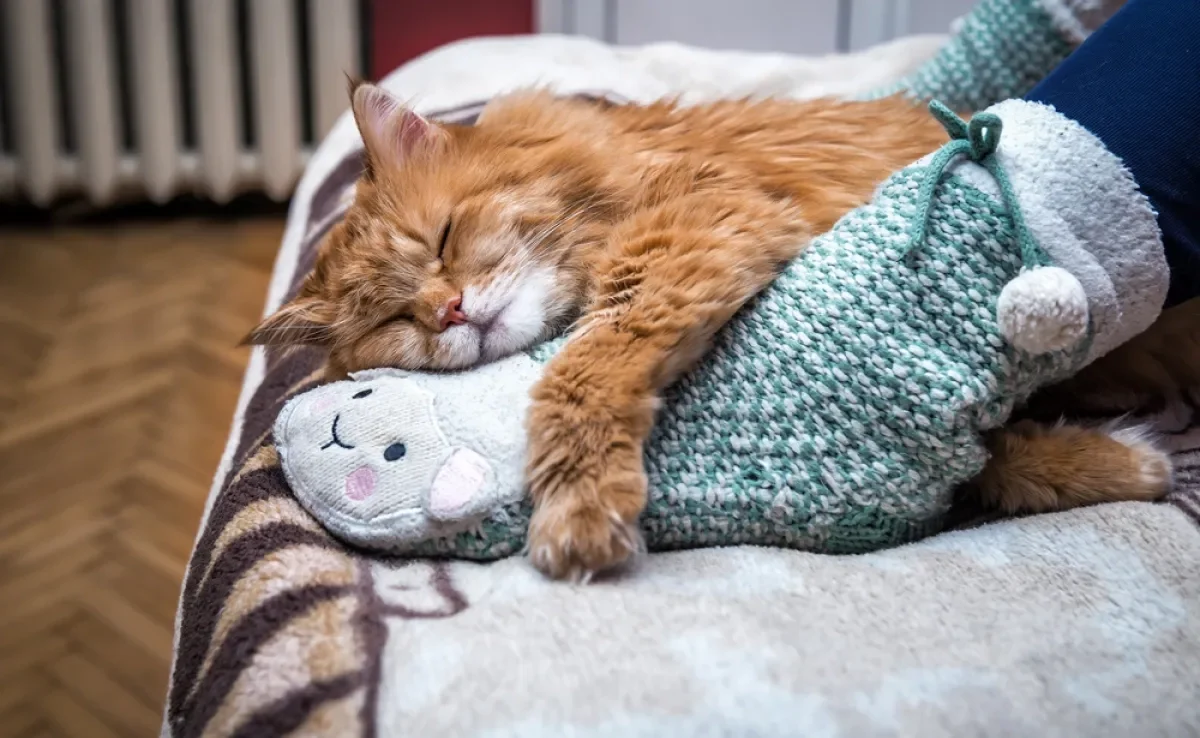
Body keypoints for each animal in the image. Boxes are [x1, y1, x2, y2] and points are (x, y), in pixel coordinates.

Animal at [248, 84, 1176, 580]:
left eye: (442, 239)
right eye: (394, 319)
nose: (447, 311)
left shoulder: (697, 225)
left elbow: (578, 373)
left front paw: (577, 508)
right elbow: (984, 462)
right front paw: (1126, 463)